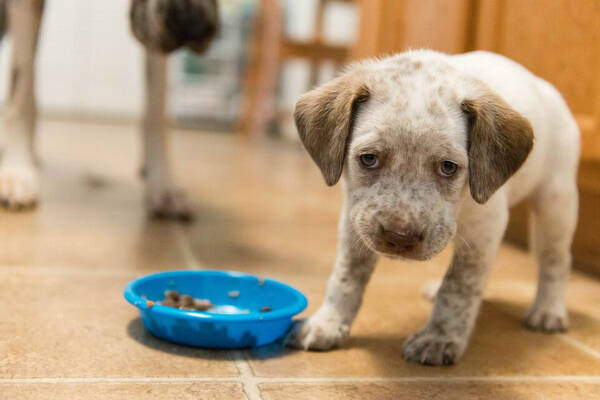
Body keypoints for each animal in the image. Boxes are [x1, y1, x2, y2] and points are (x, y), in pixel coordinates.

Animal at [0, 0, 216, 219]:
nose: (192, 25)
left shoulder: (150, 28)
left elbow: (157, 106)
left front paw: (163, 184)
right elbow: (21, 85)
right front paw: (17, 171)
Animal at [288, 50, 580, 366]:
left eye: (448, 167)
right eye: (369, 158)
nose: (399, 238)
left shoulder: (484, 229)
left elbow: (459, 286)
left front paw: (439, 338)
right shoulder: (355, 221)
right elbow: (347, 274)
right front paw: (328, 322)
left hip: (556, 203)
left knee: (556, 259)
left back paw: (548, 310)